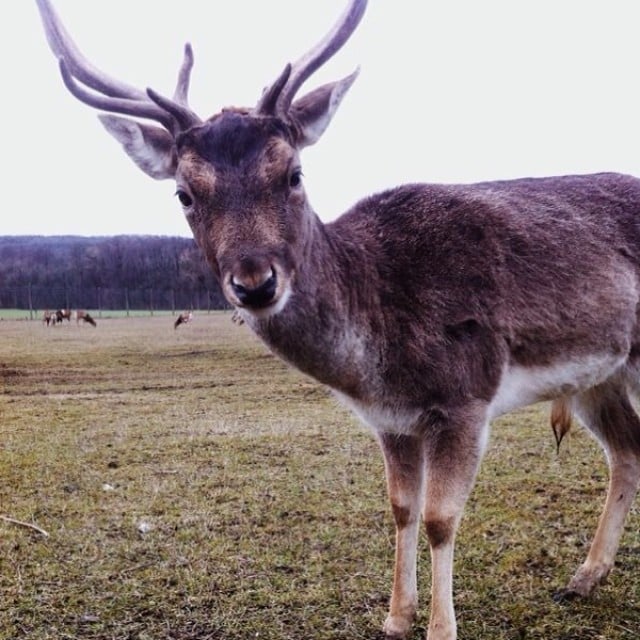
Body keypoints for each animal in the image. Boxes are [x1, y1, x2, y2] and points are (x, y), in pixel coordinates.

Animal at [35, 1, 640, 640]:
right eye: (184, 193)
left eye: (293, 173)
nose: (255, 282)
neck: (377, 359)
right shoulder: (392, 420)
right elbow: (400, 508)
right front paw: (396, 618)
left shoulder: (465, 395)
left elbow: (440, 519)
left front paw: (439, 627)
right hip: (597, 377)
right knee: (629, 449)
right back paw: (584, 577)